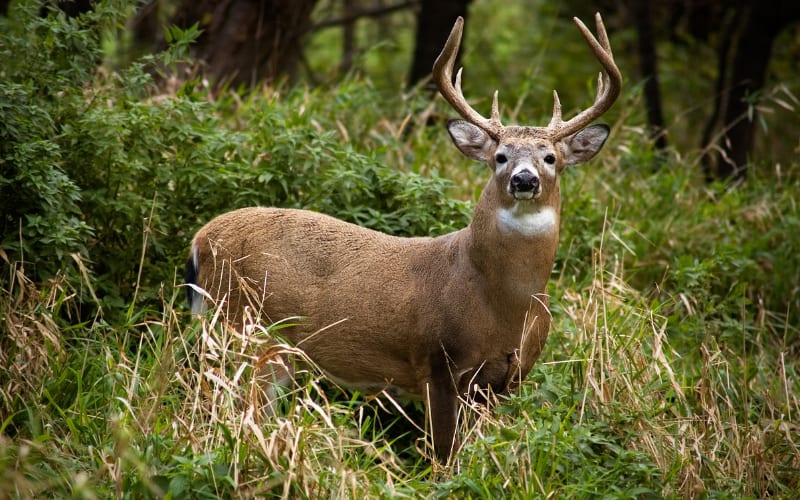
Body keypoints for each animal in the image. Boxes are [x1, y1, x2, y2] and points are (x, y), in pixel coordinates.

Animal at [185, 13, 621, 463]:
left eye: (550, 157)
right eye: (500, 156)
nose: (524, 179)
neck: (504, 303)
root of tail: (200, 240)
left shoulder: (509, 377)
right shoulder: (436, 359)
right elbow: (445, 454)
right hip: (241, 327)